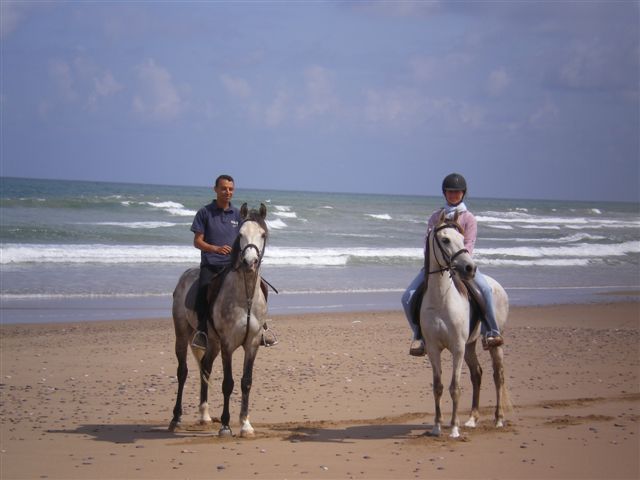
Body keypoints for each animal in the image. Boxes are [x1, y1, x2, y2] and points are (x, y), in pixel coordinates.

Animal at [170, 202, 268, 438]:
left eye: (263, 234)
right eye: (240, 234)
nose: (250, 262)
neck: (246, 297)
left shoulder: (252, 343)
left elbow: (246, 382)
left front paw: (245, 424)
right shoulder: (227, 344)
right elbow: (228, 383)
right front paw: (225, 425)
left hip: (212, 343)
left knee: (205, 367)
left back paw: (204, 415)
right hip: (183, 334)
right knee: (182, 372)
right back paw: (176, 419)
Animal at [420, 214, 510, 438]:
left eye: (462, 238)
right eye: (445, 239)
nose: (470, 268)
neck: (441, 299)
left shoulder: (457, 348)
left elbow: (455, 387)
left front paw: (453, 428)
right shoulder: (433, 349)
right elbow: (438, 386)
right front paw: (437, 426)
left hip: (492, 344)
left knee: (498, 375)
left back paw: (498, 419)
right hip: (470, 345)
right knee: (477, 374)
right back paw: (471, 419)